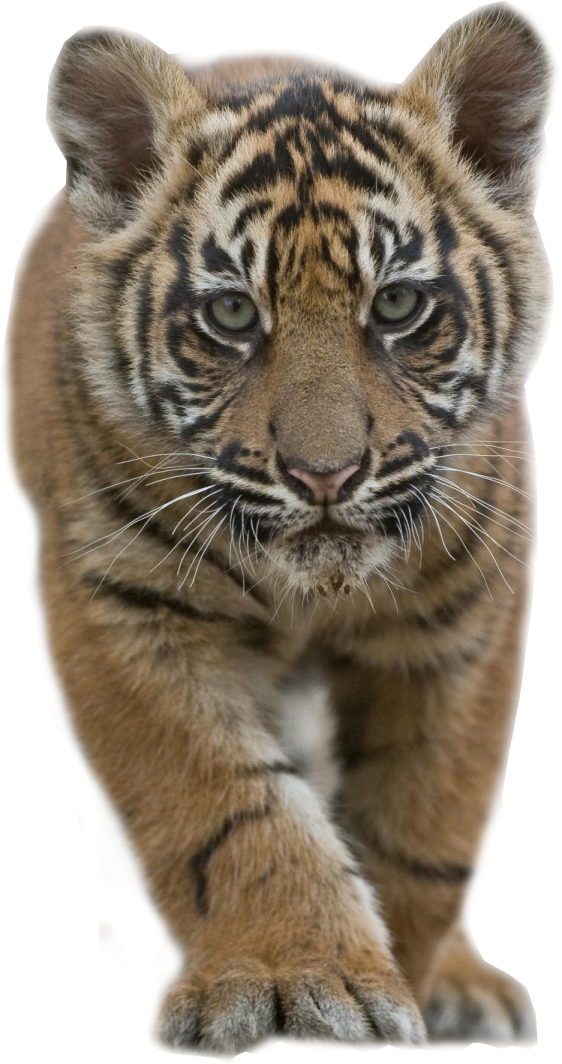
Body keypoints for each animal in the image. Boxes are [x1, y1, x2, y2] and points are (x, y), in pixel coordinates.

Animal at [1, 6, 556, 1056]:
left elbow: (431, 824)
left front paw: (402, 976)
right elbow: (225, 804)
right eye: (229, 313)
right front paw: (293, 977)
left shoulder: (472, 609)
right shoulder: (113, 601)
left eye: (398, 303)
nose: (325, 475)